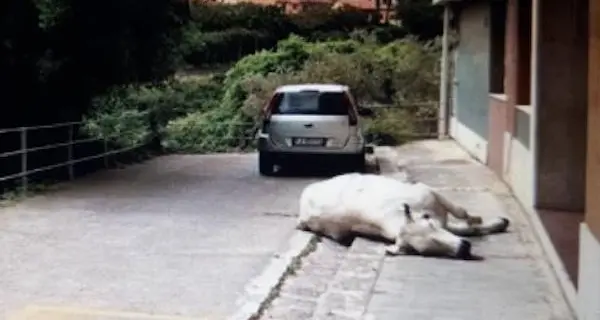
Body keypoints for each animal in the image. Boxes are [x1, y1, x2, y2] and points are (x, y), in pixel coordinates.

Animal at [298, 172, 508, 260]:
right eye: (424, 251)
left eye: (431, 226)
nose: (464, 249)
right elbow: (464, 226)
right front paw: (498, 222)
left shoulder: (427, 191)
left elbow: (461, 212)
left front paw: (486, 220)